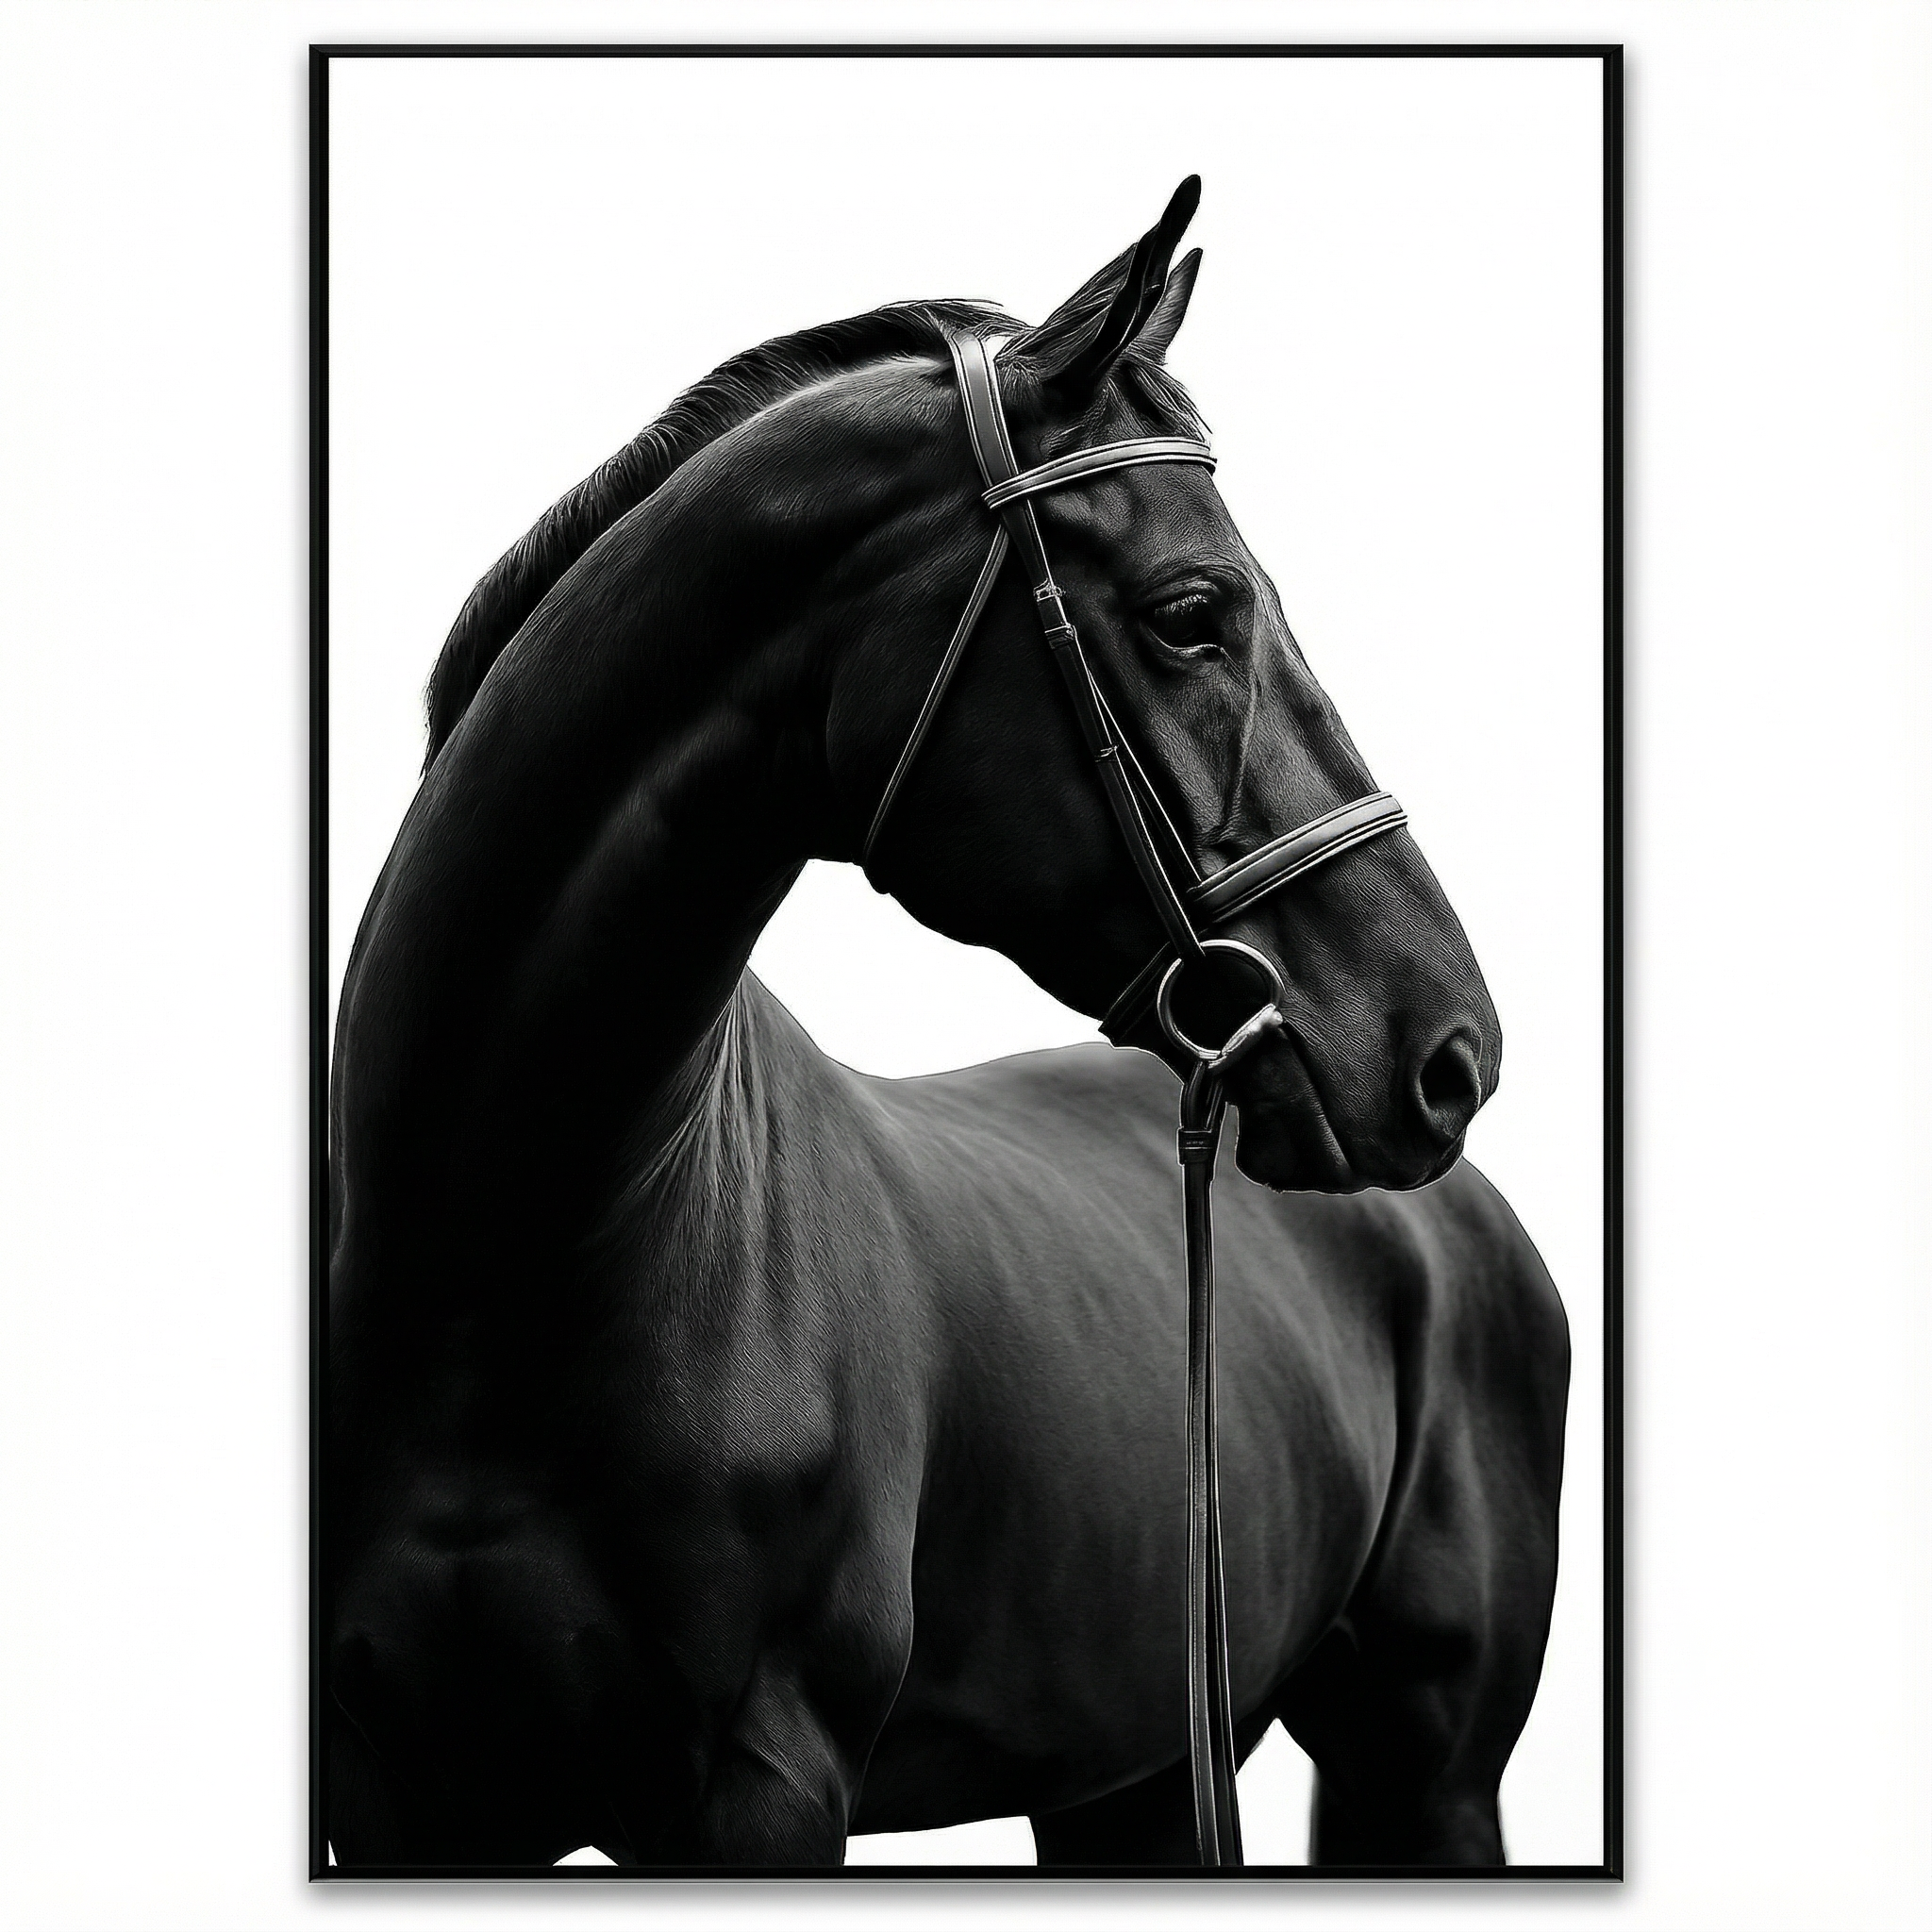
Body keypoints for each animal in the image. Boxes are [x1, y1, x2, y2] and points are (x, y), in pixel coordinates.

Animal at [323, 181, 1570, 1870]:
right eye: (1192, 614)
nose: (1449, 1050)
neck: (500, 1261)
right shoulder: (406, 1799)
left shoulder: (759, 1791)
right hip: (1134, 1776)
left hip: (1426, 1770)